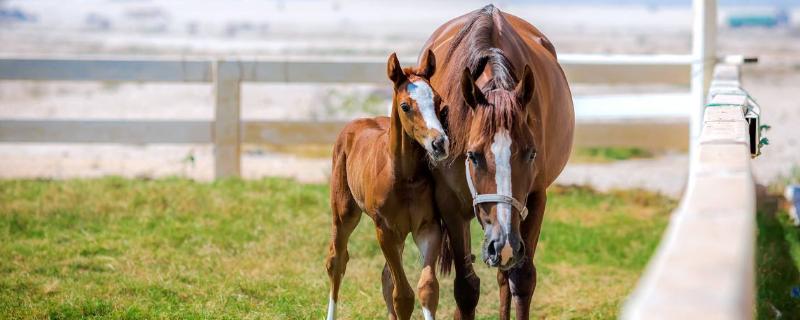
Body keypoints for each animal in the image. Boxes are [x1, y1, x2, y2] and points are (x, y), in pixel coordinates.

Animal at [324, 50, 450, 320]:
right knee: (336, 261)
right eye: (405, 106)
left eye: (438, 101)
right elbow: (403, 296)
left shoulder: (428, 227)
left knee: (385, 276)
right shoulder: (386, 230)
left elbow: (426, 289)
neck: (405, 177)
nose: (439, 143)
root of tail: (355, 123)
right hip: (344, 214)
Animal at [418, 5, 576, 320]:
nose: (502, 245)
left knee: (506, 278)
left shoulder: (534, 199)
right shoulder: (450, 204)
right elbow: (466, 289)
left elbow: (522, 279)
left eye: (531, 154)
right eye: (473, 155)